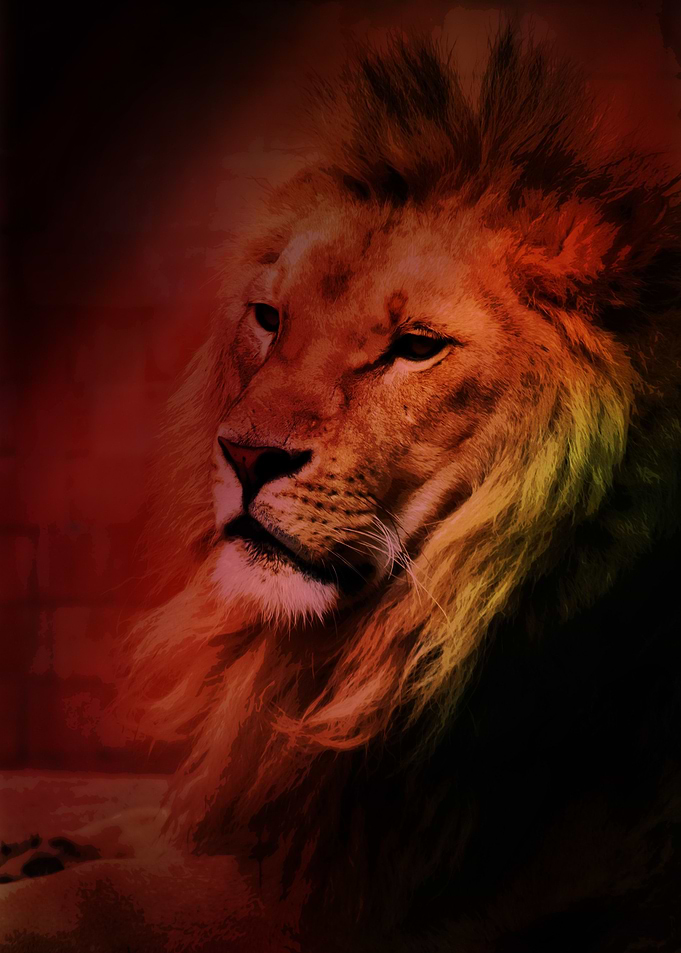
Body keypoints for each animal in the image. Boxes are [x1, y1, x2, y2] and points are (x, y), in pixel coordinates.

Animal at [3, 27, 681, 953]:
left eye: (416, 346)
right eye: (269, 318)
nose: (246, 455)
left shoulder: (345, 909)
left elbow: (102, 895)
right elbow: (162, 824)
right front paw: (47, 844)